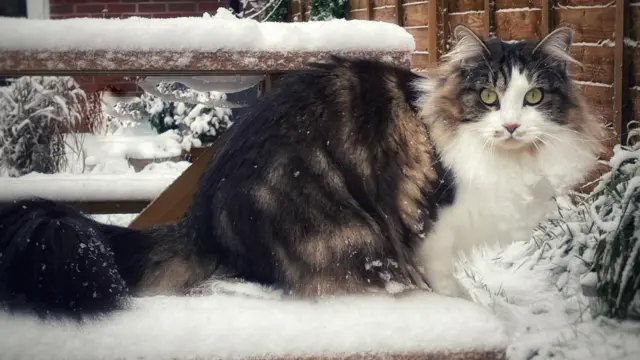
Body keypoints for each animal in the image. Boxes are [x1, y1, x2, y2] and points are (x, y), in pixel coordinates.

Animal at [0, 23, 604, 320]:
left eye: (534, 97)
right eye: (487, 97)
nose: (510, 125)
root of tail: (201, 219)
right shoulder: (431, 227)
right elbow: (442, 277)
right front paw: (464, 306)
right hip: (344, 229)